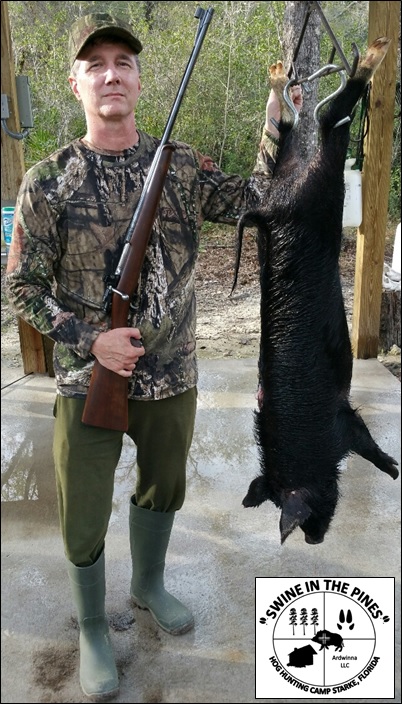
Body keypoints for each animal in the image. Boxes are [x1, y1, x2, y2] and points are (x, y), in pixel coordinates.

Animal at [233, 38, 399, 545]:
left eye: (299, 510)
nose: (312, 538)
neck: (307, 453)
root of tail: (270, 209)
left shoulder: (339, 425)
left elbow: (367, 445)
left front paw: (395, 470)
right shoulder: (343, 420)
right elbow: (366, 441)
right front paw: (397, 471)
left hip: (311, 186)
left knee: (318, 122)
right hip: (310, 184)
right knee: (309, 127)